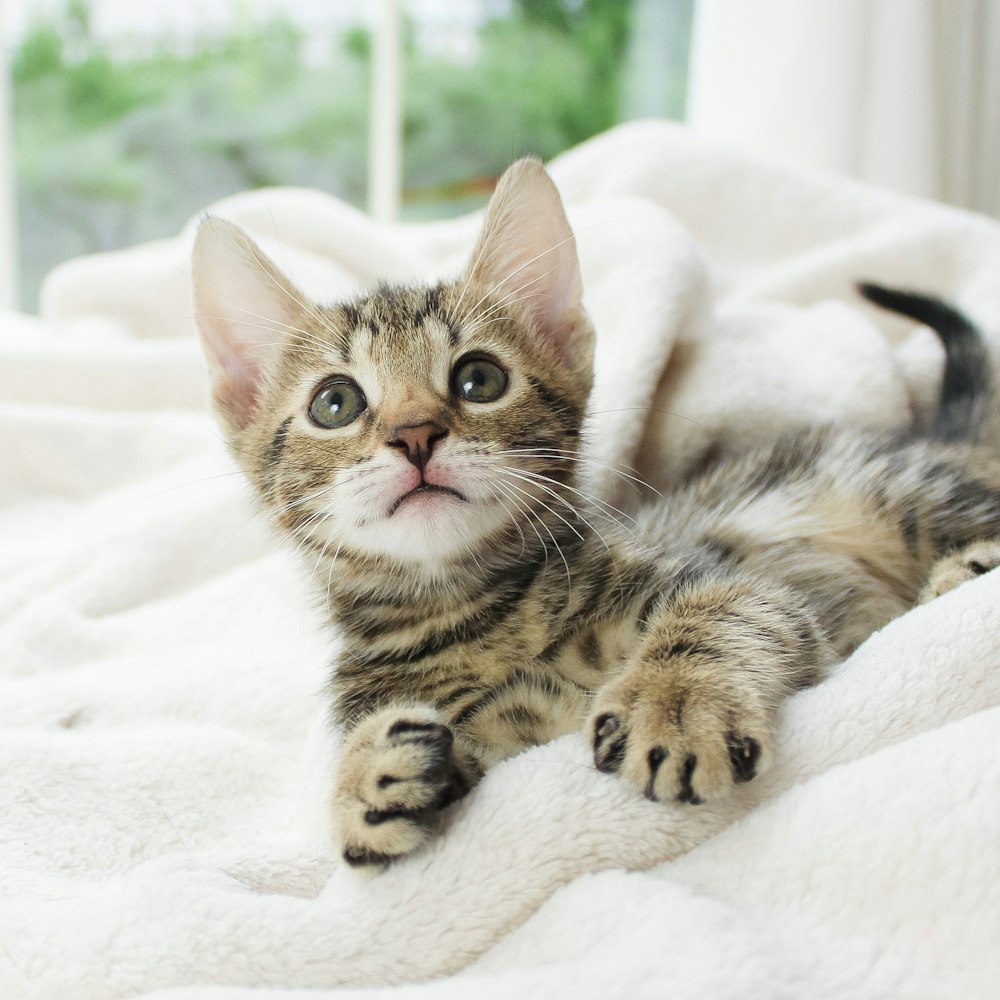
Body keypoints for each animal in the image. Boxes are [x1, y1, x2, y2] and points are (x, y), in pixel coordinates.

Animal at [191, 156, 1000, 868]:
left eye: (479, 379)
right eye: (336, 403)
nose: (415, 434)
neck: (471, 609)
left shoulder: (738, 581)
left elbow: (718, 614)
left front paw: (675, 703)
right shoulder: (497, 725)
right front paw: (365, 780)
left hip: (897, 491)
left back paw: (964, 569)